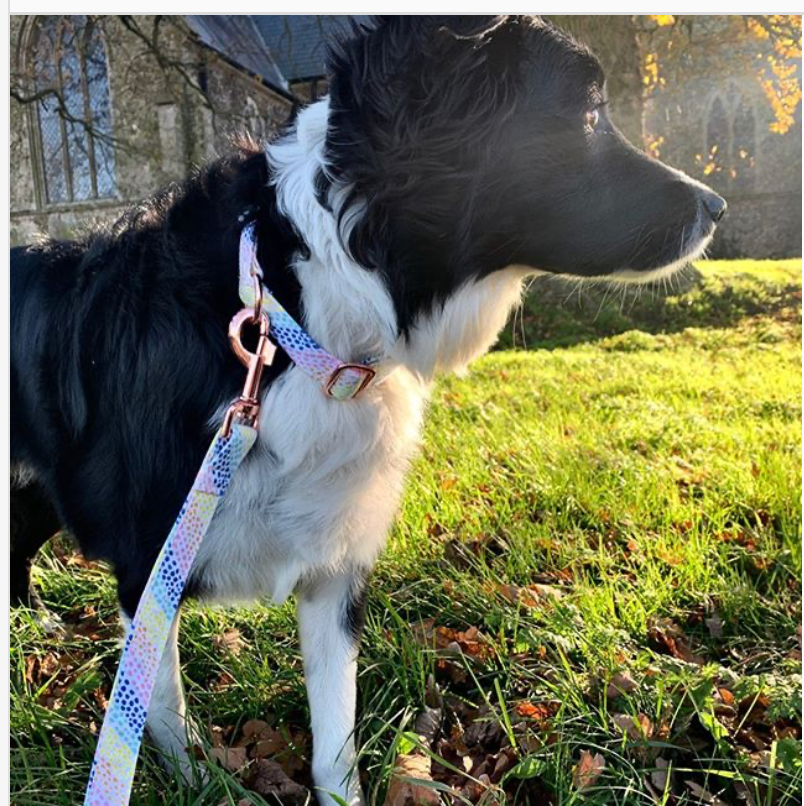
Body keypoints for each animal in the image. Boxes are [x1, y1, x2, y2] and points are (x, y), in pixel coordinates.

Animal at [11, 14, 728, 806]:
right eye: (590, 115)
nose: (718, 207)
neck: (300, 319)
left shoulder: (335, 569)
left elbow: (335, 740)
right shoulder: (150, 562)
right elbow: (162, 707)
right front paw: (201, 780)